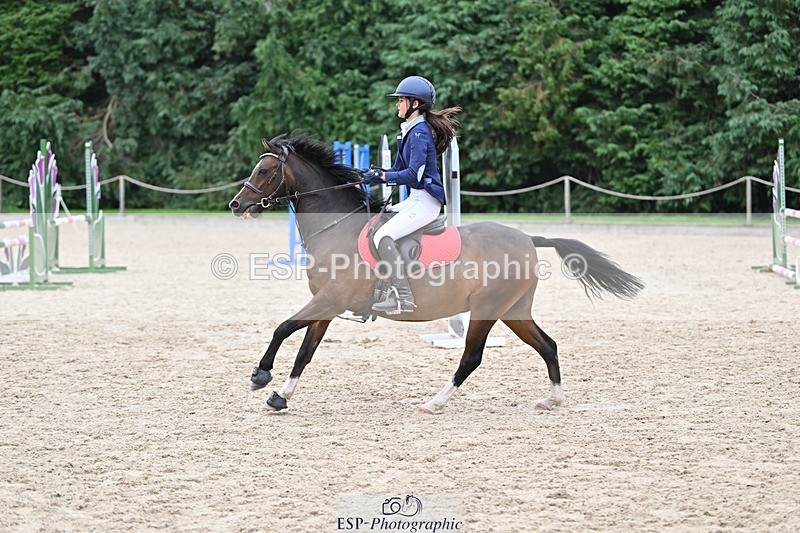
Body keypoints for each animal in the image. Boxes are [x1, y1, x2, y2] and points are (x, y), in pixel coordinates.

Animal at [229, 134, 644, 414]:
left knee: (472, 357)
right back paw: (552, 398)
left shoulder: (329, 300)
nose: (235, 204)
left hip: (487, 310)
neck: (337, 226)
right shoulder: (327, 305)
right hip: (514, 311)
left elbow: (282, 328)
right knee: (548, 345)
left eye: (264, 170)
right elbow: (305, 351)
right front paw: (282, 395)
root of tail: (528, 238)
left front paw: (260, 376)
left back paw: (434, 402)